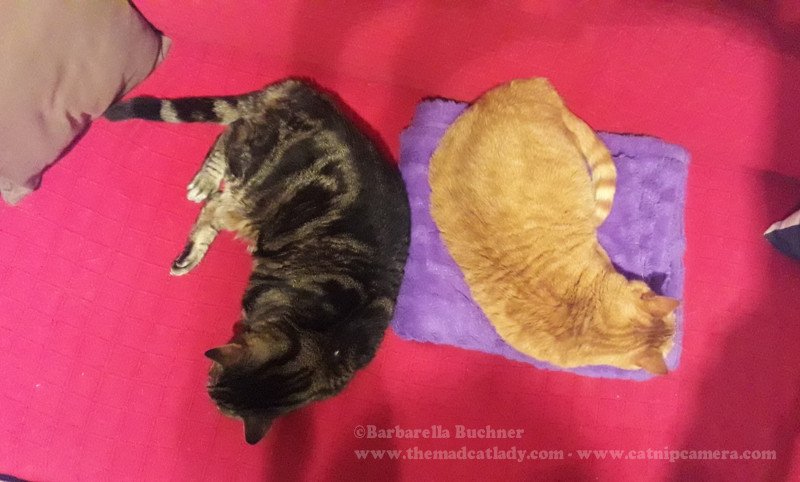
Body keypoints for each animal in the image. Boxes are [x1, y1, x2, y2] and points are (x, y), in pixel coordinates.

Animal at [104, 79, 411, 443]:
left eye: (212, 381)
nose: (207, 389)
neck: (324, 341)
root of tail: (300, 90)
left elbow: (211, 212)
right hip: (249, 172)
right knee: (228, 136)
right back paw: (205, 182)